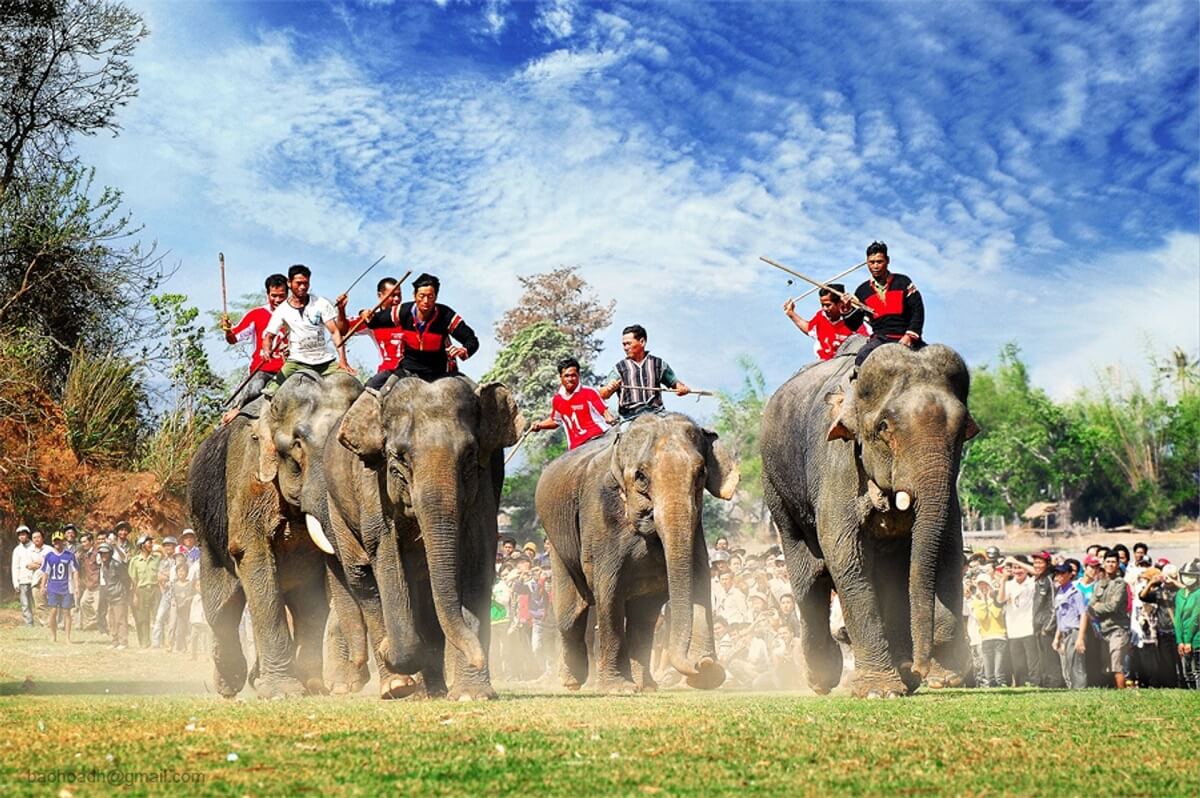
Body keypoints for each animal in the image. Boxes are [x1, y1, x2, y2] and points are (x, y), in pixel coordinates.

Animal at [188, 369, 363, 698]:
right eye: (297, 445)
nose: (358, 673)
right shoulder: (249, 477)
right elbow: (252, 554)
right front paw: (281, 691)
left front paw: (325, 686)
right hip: (205, 530)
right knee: (221, 607)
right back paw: (230, 683)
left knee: (306, 603)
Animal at [320, 375, 524, 700]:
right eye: (398, 458)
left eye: (469, 455)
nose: (478, 657)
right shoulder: (372, 482)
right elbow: (386, 555)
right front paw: (391, 652)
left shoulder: (483, 486)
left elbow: (477, 557)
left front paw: (470, 694)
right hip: (335, 507)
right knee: (362, 575)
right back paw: (398, 686)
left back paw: (431, 690)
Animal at [534, 412, 739, 694]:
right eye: (641, 476)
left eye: (700, 473)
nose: (698, 666)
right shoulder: (601, 520)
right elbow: (608, 591)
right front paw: (617, 689)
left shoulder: (696, 530)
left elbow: (699, 578)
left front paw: (709, 674)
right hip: (556, 540)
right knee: (570, 613)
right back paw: (572, 682)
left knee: (644, 615)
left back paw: (646, 686)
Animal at [760, 342, 978, 698]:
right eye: (885, 426)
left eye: (963, 430)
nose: (919, 667)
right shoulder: (838, 464)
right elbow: (846, 555)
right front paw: (880, 690)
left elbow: (947, 547)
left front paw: (945, 673)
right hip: (775, 488)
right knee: (808, 574)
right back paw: (822, 677)